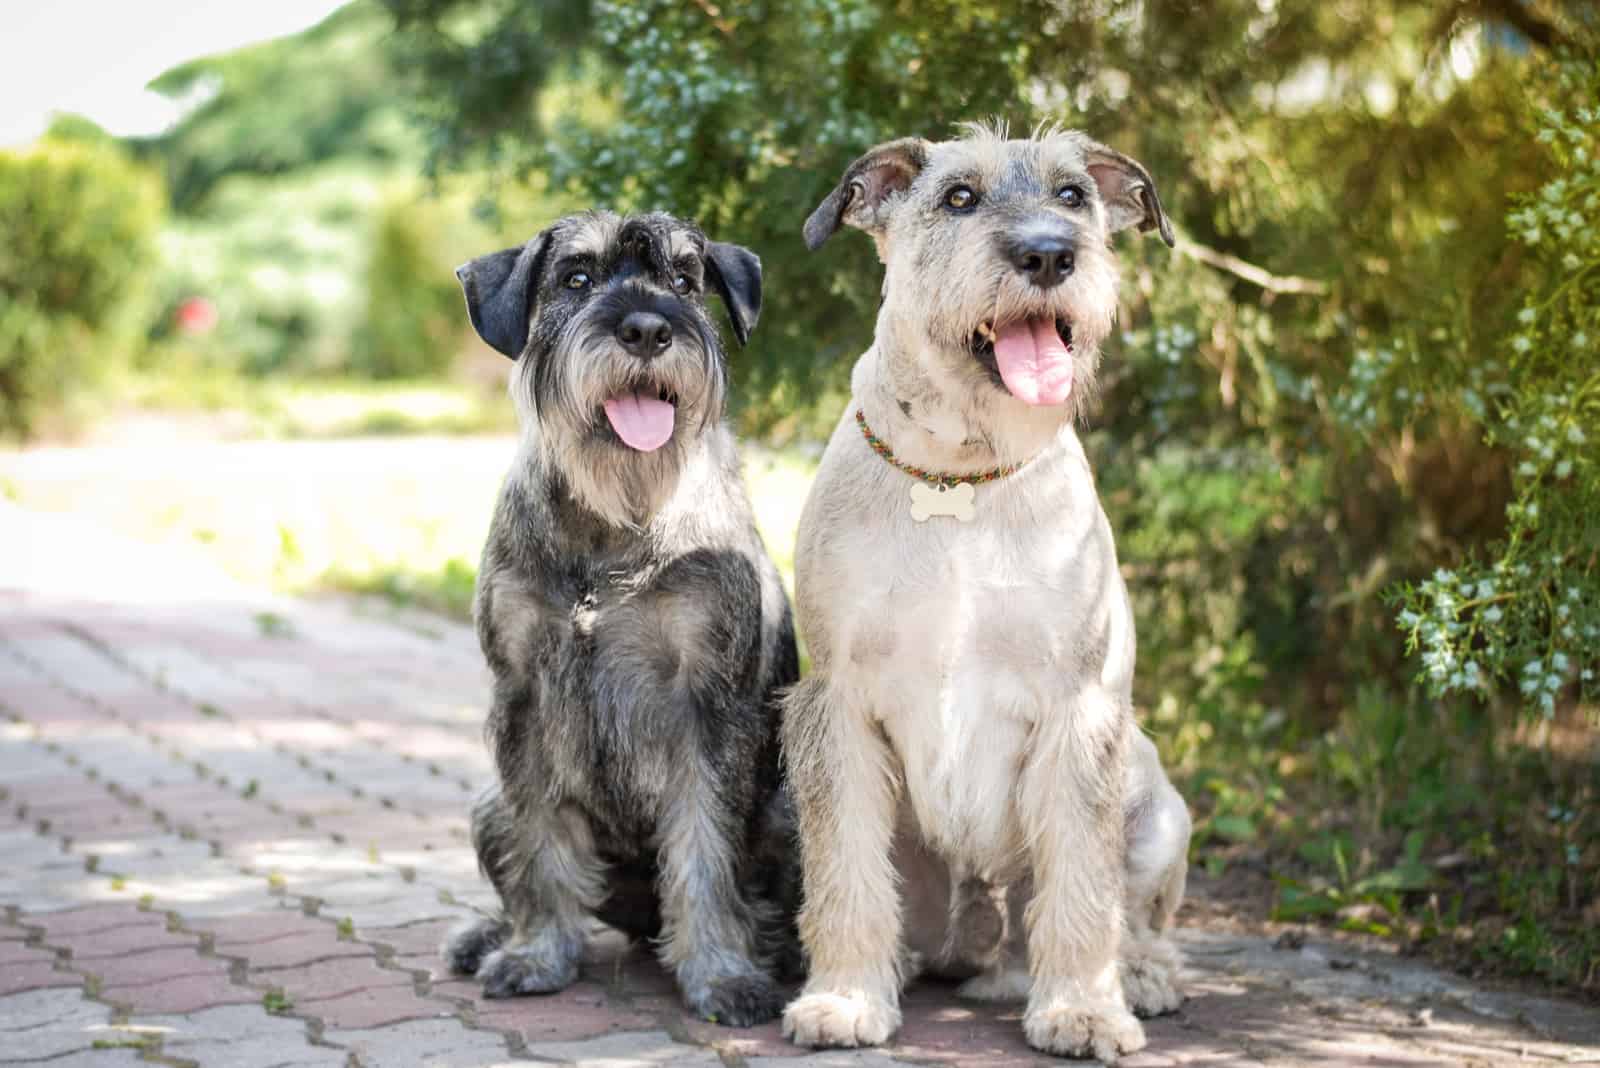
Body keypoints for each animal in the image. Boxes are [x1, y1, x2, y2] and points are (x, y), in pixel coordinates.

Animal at [444, 211, 800, 1023]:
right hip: (486, 804)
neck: (614, 521)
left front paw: (721, 975)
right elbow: (540, 843)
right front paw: (537, 953)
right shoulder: (524, 699)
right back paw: (488, 936)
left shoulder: (708, 705)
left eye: (684, 279)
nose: (646, 329)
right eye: (576, 277)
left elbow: (705, 851)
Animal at [780, 125, 1196, 1061]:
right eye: (959, 197)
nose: (1047, 254)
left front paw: (1083, 1008)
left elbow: (1080, 883)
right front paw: (845, 997)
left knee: (1126, 914)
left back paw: (1141, 978)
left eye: (1074, 194)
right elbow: (845, 871)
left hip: (1159, 807)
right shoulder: (838, 705)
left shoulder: (1079, 710)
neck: (961, 472)